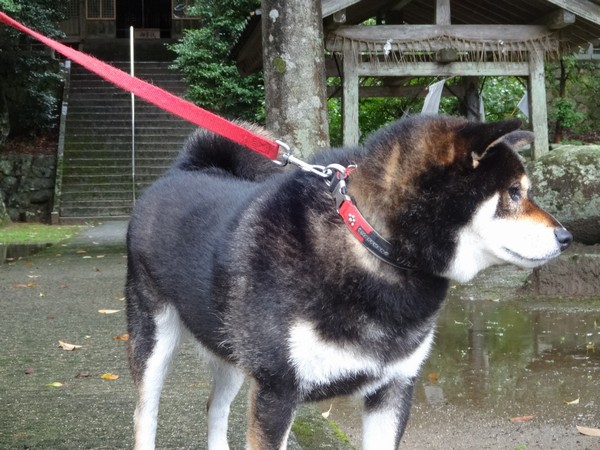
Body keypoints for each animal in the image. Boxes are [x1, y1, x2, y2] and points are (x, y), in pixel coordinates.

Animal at [125, 115, 571, 450]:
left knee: (215, 410)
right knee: (145, 414)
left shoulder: (393, 389)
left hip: (232, 351)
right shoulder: (277, 390)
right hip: (155, 340)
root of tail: (184, 170)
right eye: (513, 193)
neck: (371, 243)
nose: (566, 237)